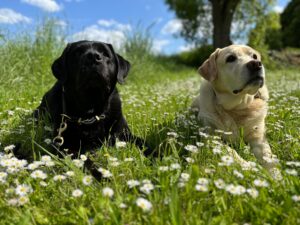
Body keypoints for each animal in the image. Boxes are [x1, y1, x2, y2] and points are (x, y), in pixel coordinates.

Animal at [33, 39, 148, 178]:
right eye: (77, 53)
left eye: (105, 54)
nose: (93, 57)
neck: (92, 110)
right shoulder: (65, 145)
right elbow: (85, 162)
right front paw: (101, 175)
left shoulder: (125, 134)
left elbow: (145, 143)